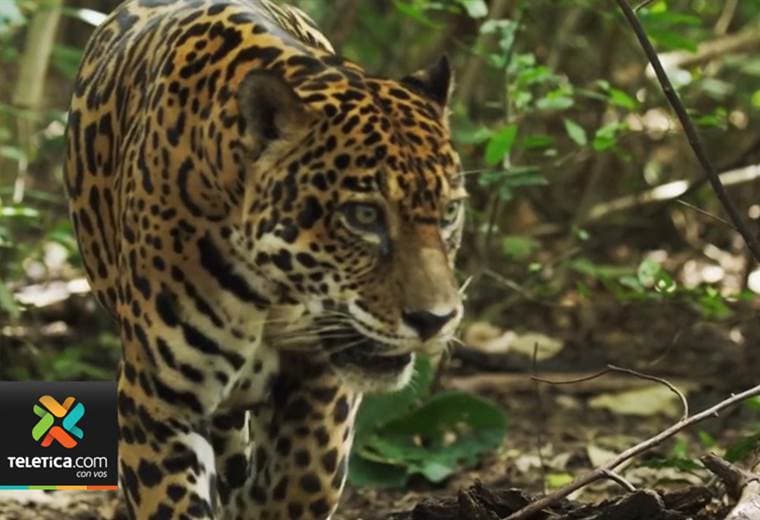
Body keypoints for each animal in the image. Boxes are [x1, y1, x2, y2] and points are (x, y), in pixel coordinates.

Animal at [63, 0, 466, 518]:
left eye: (450, 212)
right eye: (364, 215)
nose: (435, 321)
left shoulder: (321, 379)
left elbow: (305, 480)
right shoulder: (157, 397)